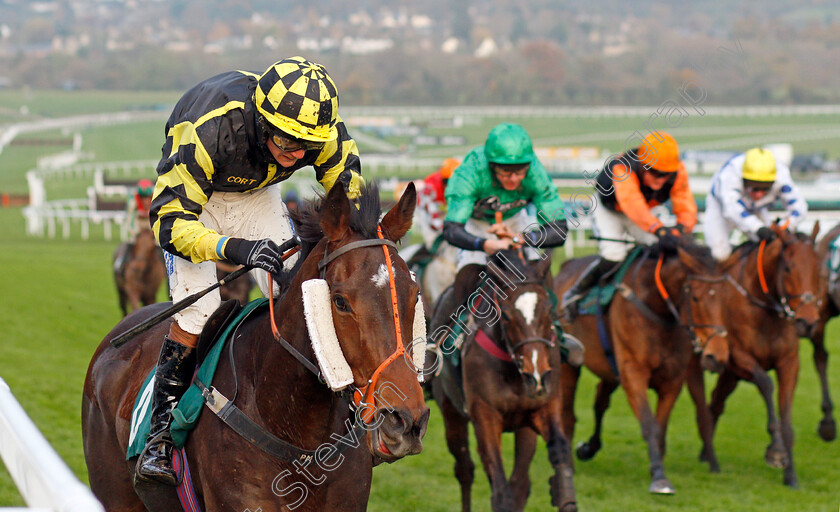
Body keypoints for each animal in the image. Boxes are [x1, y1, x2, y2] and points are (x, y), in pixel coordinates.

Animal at [430, 252, 576, 512]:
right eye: (506, 315)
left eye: (549, 310)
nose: (536, 375)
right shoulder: (484, 415)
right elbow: (499, 488)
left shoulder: (544, 405)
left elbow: (559, 449)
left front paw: (564, 494)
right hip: (450, 413)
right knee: (465, 469)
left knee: (520, 481)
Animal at [556, 242, 724, 494]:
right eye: (695, 297)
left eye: (724, 297)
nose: (717, 356)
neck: (656, 309)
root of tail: (566, 265)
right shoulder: (633, 374)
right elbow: (648, 424)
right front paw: (660, 478)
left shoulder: (673, 380)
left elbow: (660, 427)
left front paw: (658, 467)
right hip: (570, 367)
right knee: (568, 415)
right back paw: (568, 465)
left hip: (610, 369)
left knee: (600, 401)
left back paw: (588, 448)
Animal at [700, 224, 824, 488]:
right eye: (787, 268)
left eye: (818, 269)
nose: (807, 322)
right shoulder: (737, 357)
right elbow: (766, 384)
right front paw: (775, 451)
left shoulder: (789, 362)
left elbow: (786, 416)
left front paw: (791, 476)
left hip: (729, 375)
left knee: (716, 402)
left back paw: (706, 453)